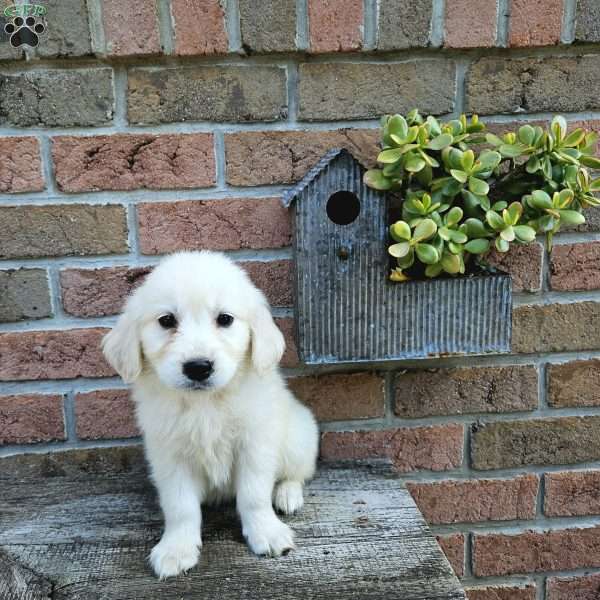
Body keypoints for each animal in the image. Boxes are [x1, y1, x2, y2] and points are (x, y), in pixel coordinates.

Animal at [103, 251, 318, 580]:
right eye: (167, 321)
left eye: (225, 319)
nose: (198, 367)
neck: (204, 403)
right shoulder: (169, 456)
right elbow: (180, 506)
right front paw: (177, 549)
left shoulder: (254, 444)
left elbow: (254, 495)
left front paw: (266, 532)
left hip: (298, 437)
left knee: (298, 473)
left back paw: (287, 495)